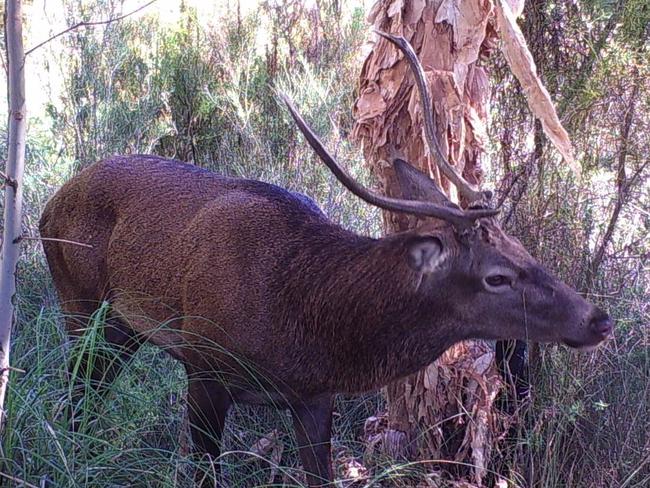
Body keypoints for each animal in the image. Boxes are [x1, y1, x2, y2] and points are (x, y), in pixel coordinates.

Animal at [38, 32, 612, 486]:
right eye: (497, 276)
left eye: (524, 248)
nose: (599, 319)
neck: (309, 324)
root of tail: (49, 204)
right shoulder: (204, 366)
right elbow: (202, 472)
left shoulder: (314, 396)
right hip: (78, 302)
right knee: (74, 394)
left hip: (121, 329)